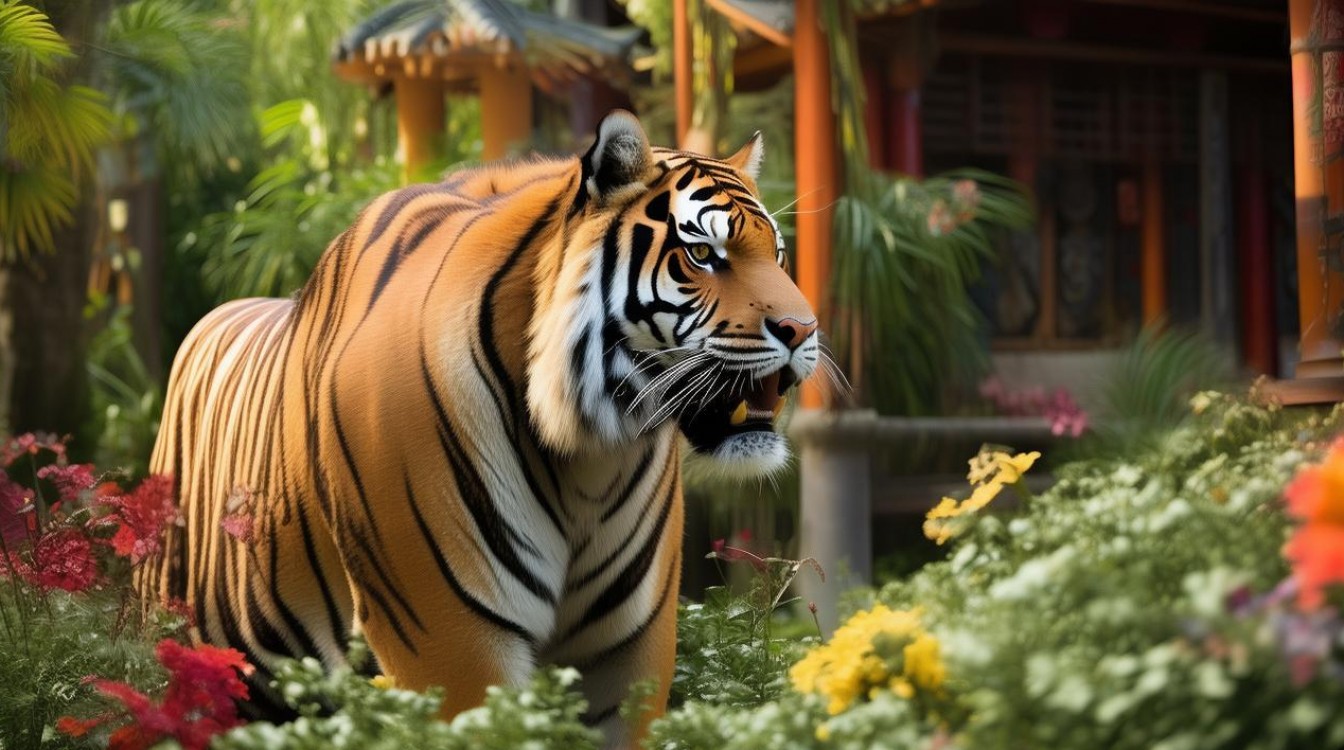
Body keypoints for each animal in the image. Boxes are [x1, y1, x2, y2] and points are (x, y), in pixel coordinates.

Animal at [144, 110, 821, 746]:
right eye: (703, 254)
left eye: (778, 255)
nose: (803, 330)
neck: (589, 454)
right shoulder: (453, 637)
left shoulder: (628, 645)